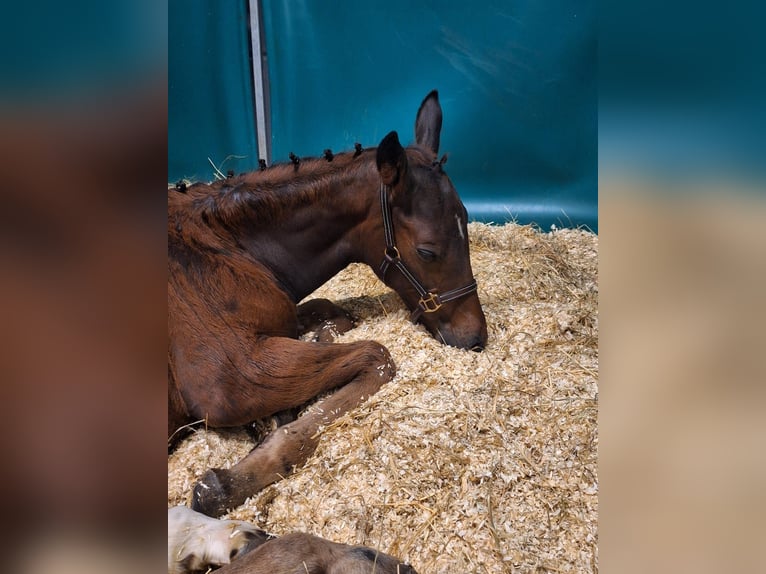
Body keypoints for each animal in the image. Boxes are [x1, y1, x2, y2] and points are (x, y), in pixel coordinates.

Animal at [170, 92, 488, 520]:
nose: (475, 336)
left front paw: (318, 343)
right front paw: (231, 481)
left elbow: (332, 312)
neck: (219, 247)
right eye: (427, 250)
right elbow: (377, 356)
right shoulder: (231, 380)